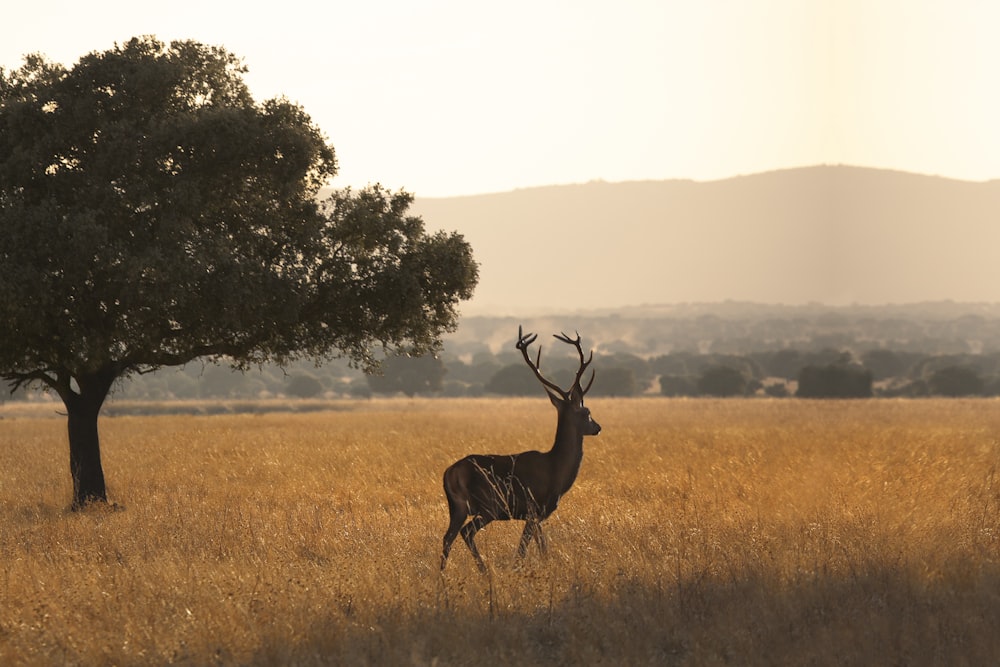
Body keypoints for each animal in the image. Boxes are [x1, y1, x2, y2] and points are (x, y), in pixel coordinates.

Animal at [440, 326, 600, 572]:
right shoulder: (534, 509)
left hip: (457, 508)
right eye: (586, 412)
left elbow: (542, 547)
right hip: (489, 505)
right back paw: (484, 571)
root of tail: (449, 473)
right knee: (466, 533)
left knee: (447, 537)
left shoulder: (536, 516)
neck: (556, 471)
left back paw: (443, 575)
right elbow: (524, 549)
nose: (598, 427)